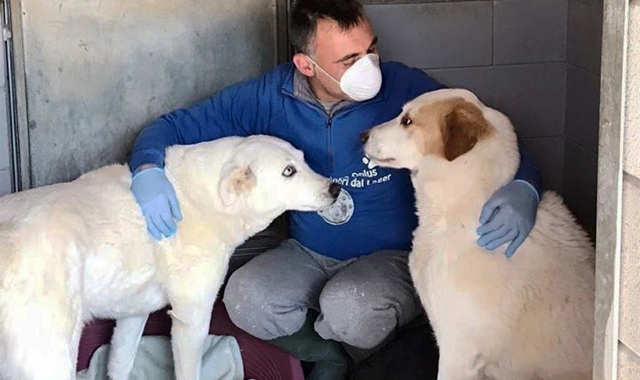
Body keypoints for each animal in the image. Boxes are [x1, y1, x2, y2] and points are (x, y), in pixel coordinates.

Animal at [0, 135, 340, 380]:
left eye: (304, 159)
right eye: (288, 172)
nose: (335, 188)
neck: (205, 199)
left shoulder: (133, 312)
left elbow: (121, 363)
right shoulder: (192, 317)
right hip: (50, 354)